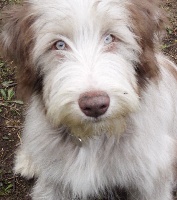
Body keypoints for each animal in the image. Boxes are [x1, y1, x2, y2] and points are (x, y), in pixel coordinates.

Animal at [0, 0, 177, 198]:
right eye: (59, 45)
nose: (94, 105)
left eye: (109, 38)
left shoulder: (152, 181)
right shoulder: (53, 182)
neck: (93, 136)